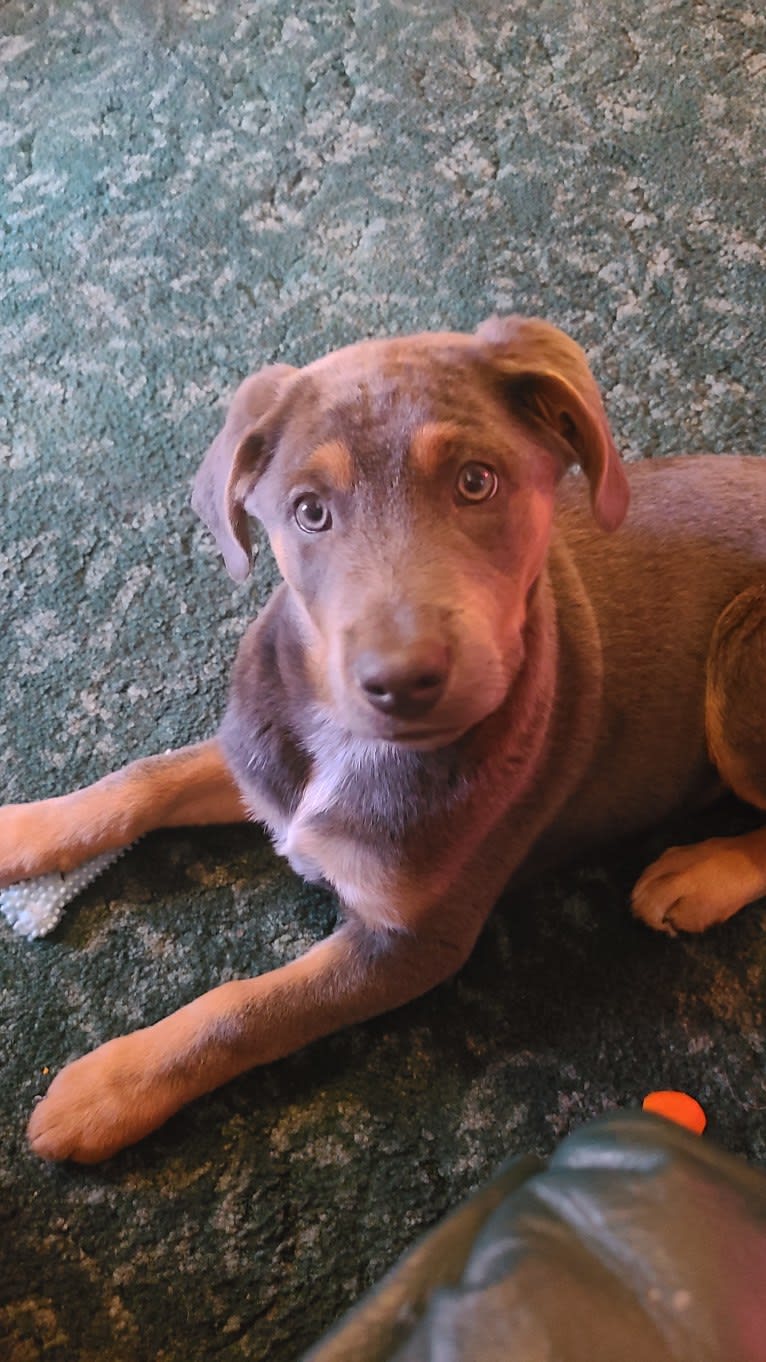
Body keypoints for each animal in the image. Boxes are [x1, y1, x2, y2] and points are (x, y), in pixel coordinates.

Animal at [2, 318, 757, 1160]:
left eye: (476, 482)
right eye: (309, 512)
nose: (401, 681)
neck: (344, 743)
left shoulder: (414, 940)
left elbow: (247, 1010)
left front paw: (108, 1090)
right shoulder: (260, 756)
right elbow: (143, 779)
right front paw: (23, 830)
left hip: (741, 658)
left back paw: (701, 873)